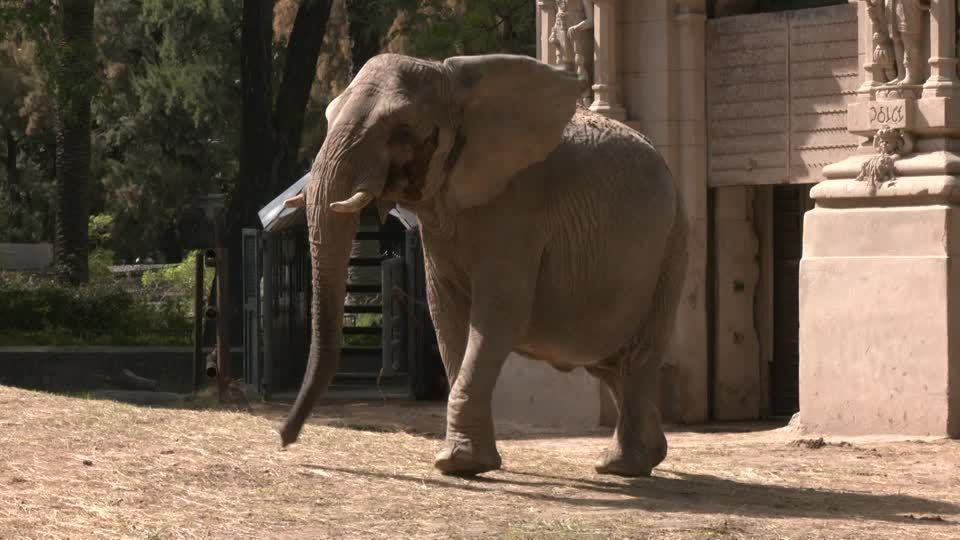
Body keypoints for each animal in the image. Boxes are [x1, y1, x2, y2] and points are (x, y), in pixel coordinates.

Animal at [277, 52, 688, 478]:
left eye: (402, 130)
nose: (285, 438)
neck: (452, 81)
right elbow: (446, 314)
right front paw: (466, 461)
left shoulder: (519, 206)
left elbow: (498, 315)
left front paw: (457, 464)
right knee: (608, 363)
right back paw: (646, 454)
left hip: (672, 244)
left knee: (637, 356)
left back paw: (622, 466)